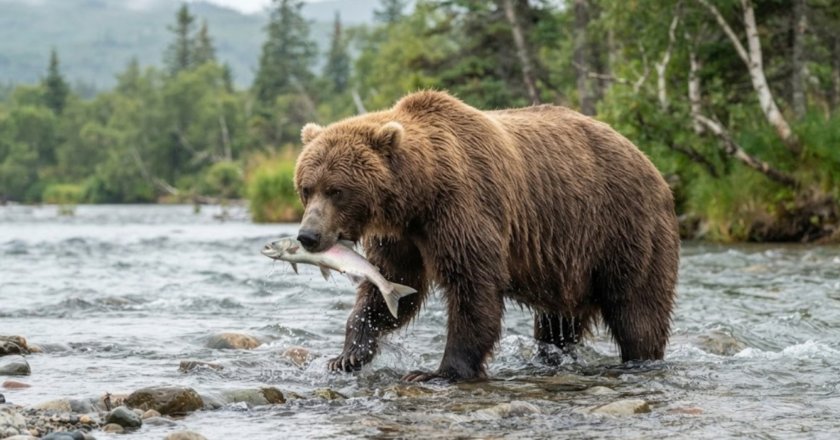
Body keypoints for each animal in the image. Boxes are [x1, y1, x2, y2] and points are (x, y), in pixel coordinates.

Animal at [293, 90, 679, 382]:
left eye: (337, 190)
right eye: (306, 188)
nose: (307, 235)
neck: (420, 194)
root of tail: (651, 164)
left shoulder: (464, 207)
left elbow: (473, 287)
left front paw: (439, 372)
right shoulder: (402, 237)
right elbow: (391, 287)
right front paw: (347, 355)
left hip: (623, 229)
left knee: (637, 310)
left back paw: (640, 359)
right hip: (569, 262)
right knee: (557, 324)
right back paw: (549, 358)